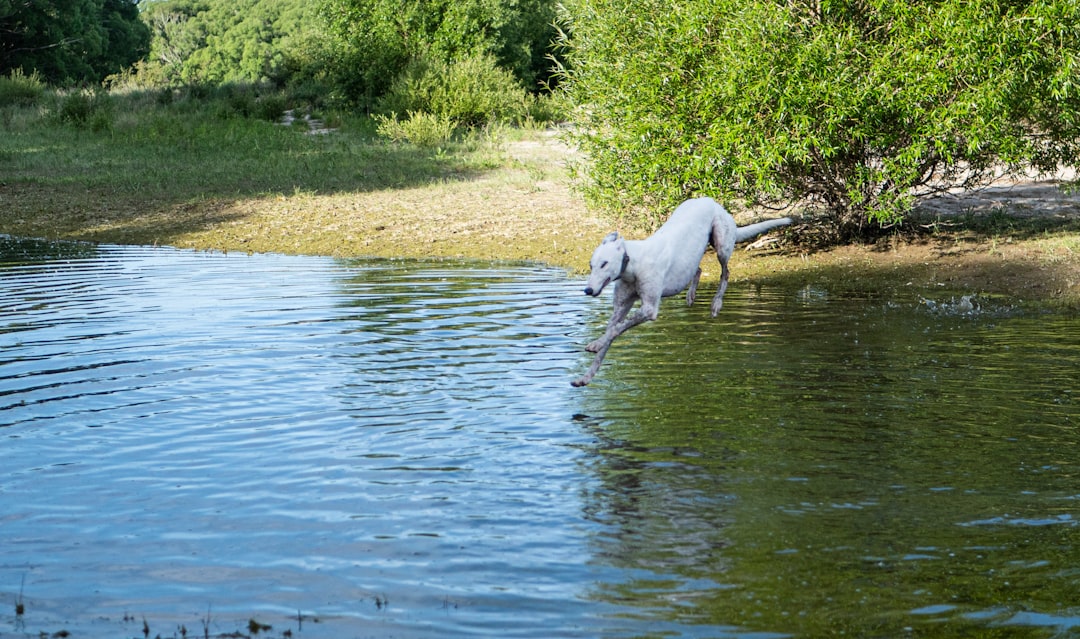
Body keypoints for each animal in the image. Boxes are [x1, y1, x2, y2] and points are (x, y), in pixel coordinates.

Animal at [574, 196, 794, 384]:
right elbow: (611, 334)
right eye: (591, 265)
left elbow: (614, 331)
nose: (587, 290)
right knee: (698, 269)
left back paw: (716, 304)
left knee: (726, 273)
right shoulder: (620, 308)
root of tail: (712, 201)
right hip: (693, 257)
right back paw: (691, 295)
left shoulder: (649, 309)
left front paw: (595, 345)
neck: (633, 263)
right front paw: (585, 377)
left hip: (721, 243)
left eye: (604, 263)